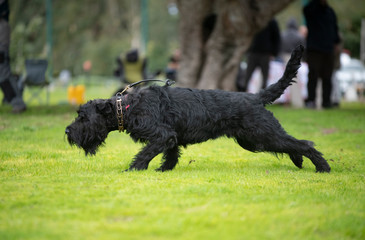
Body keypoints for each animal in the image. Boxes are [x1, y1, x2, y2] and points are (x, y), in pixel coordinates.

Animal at [64, 45, 330, 172]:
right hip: (254, 140)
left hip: (262, 134)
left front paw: (133, 169)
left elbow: (145, 153)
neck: (126, 107)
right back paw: (299, 161)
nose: (67, 131)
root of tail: (256, 97)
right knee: (292, 145)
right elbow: (170, 156)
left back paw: (322, 167)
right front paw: (163, 171)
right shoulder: (171, 138)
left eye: (82, 117)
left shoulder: (161, 135)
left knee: (303, 143)